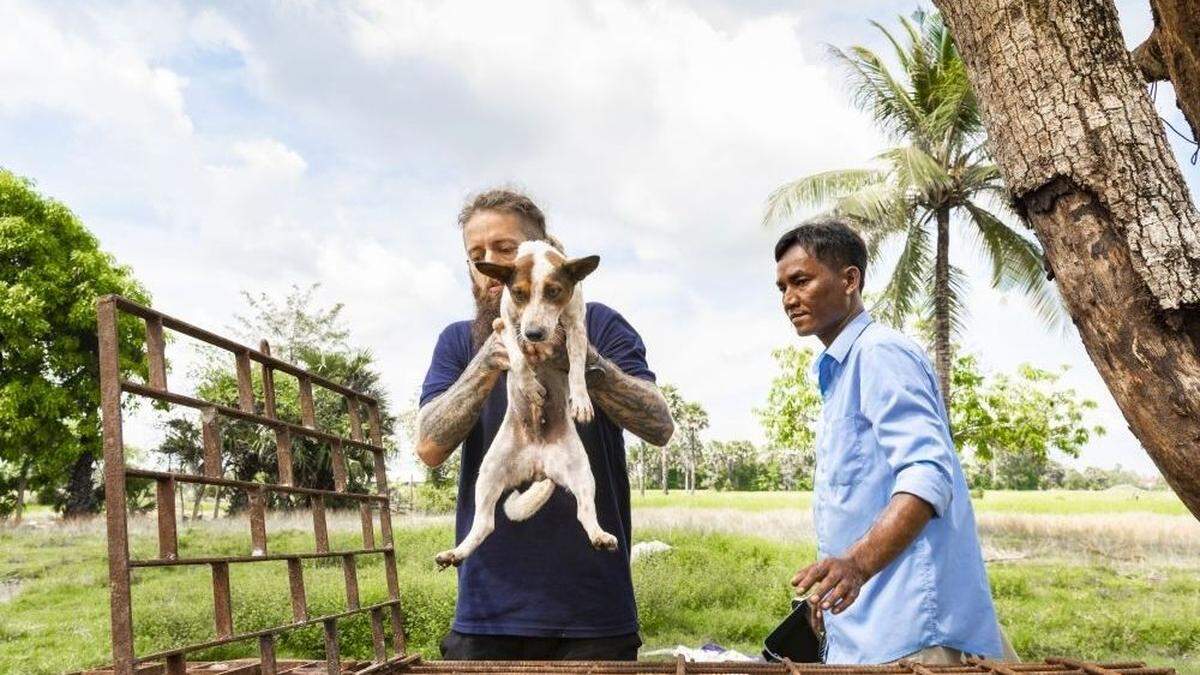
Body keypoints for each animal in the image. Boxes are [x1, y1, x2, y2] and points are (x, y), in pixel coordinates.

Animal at [434, 239, 619, 564]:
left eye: (554, 291)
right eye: (519, 293)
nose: (534, 334)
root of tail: (538, 464)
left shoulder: (575, 326)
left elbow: (577, 366)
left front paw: (580, 399)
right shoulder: (506, 324)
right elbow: (518, 358)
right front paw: (529, 384)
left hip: (582, 473)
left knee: (585, 513)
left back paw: (600, 536)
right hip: (488, 474)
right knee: (484, 524)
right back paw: (456, 553)